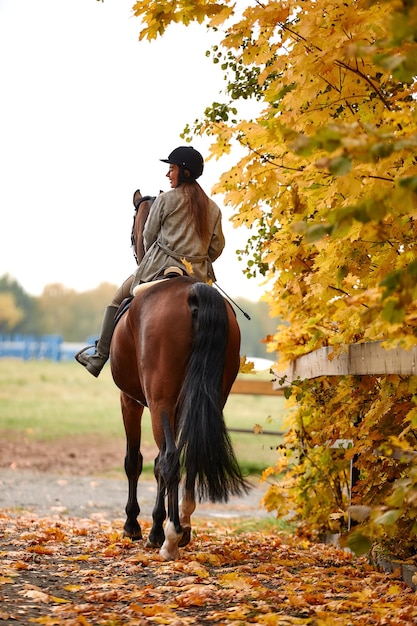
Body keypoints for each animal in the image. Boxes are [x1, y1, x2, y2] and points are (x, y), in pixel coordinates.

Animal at [109, 190, 249, 556]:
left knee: (170, 457)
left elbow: (136, 460)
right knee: (189, 455)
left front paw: (137, 526)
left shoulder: (131, 401)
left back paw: (170, 537)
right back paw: (182, 526)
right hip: (207, 399)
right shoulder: (175, 406)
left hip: (157, 401)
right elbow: (160, 463)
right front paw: (159, 525)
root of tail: (193, 291)